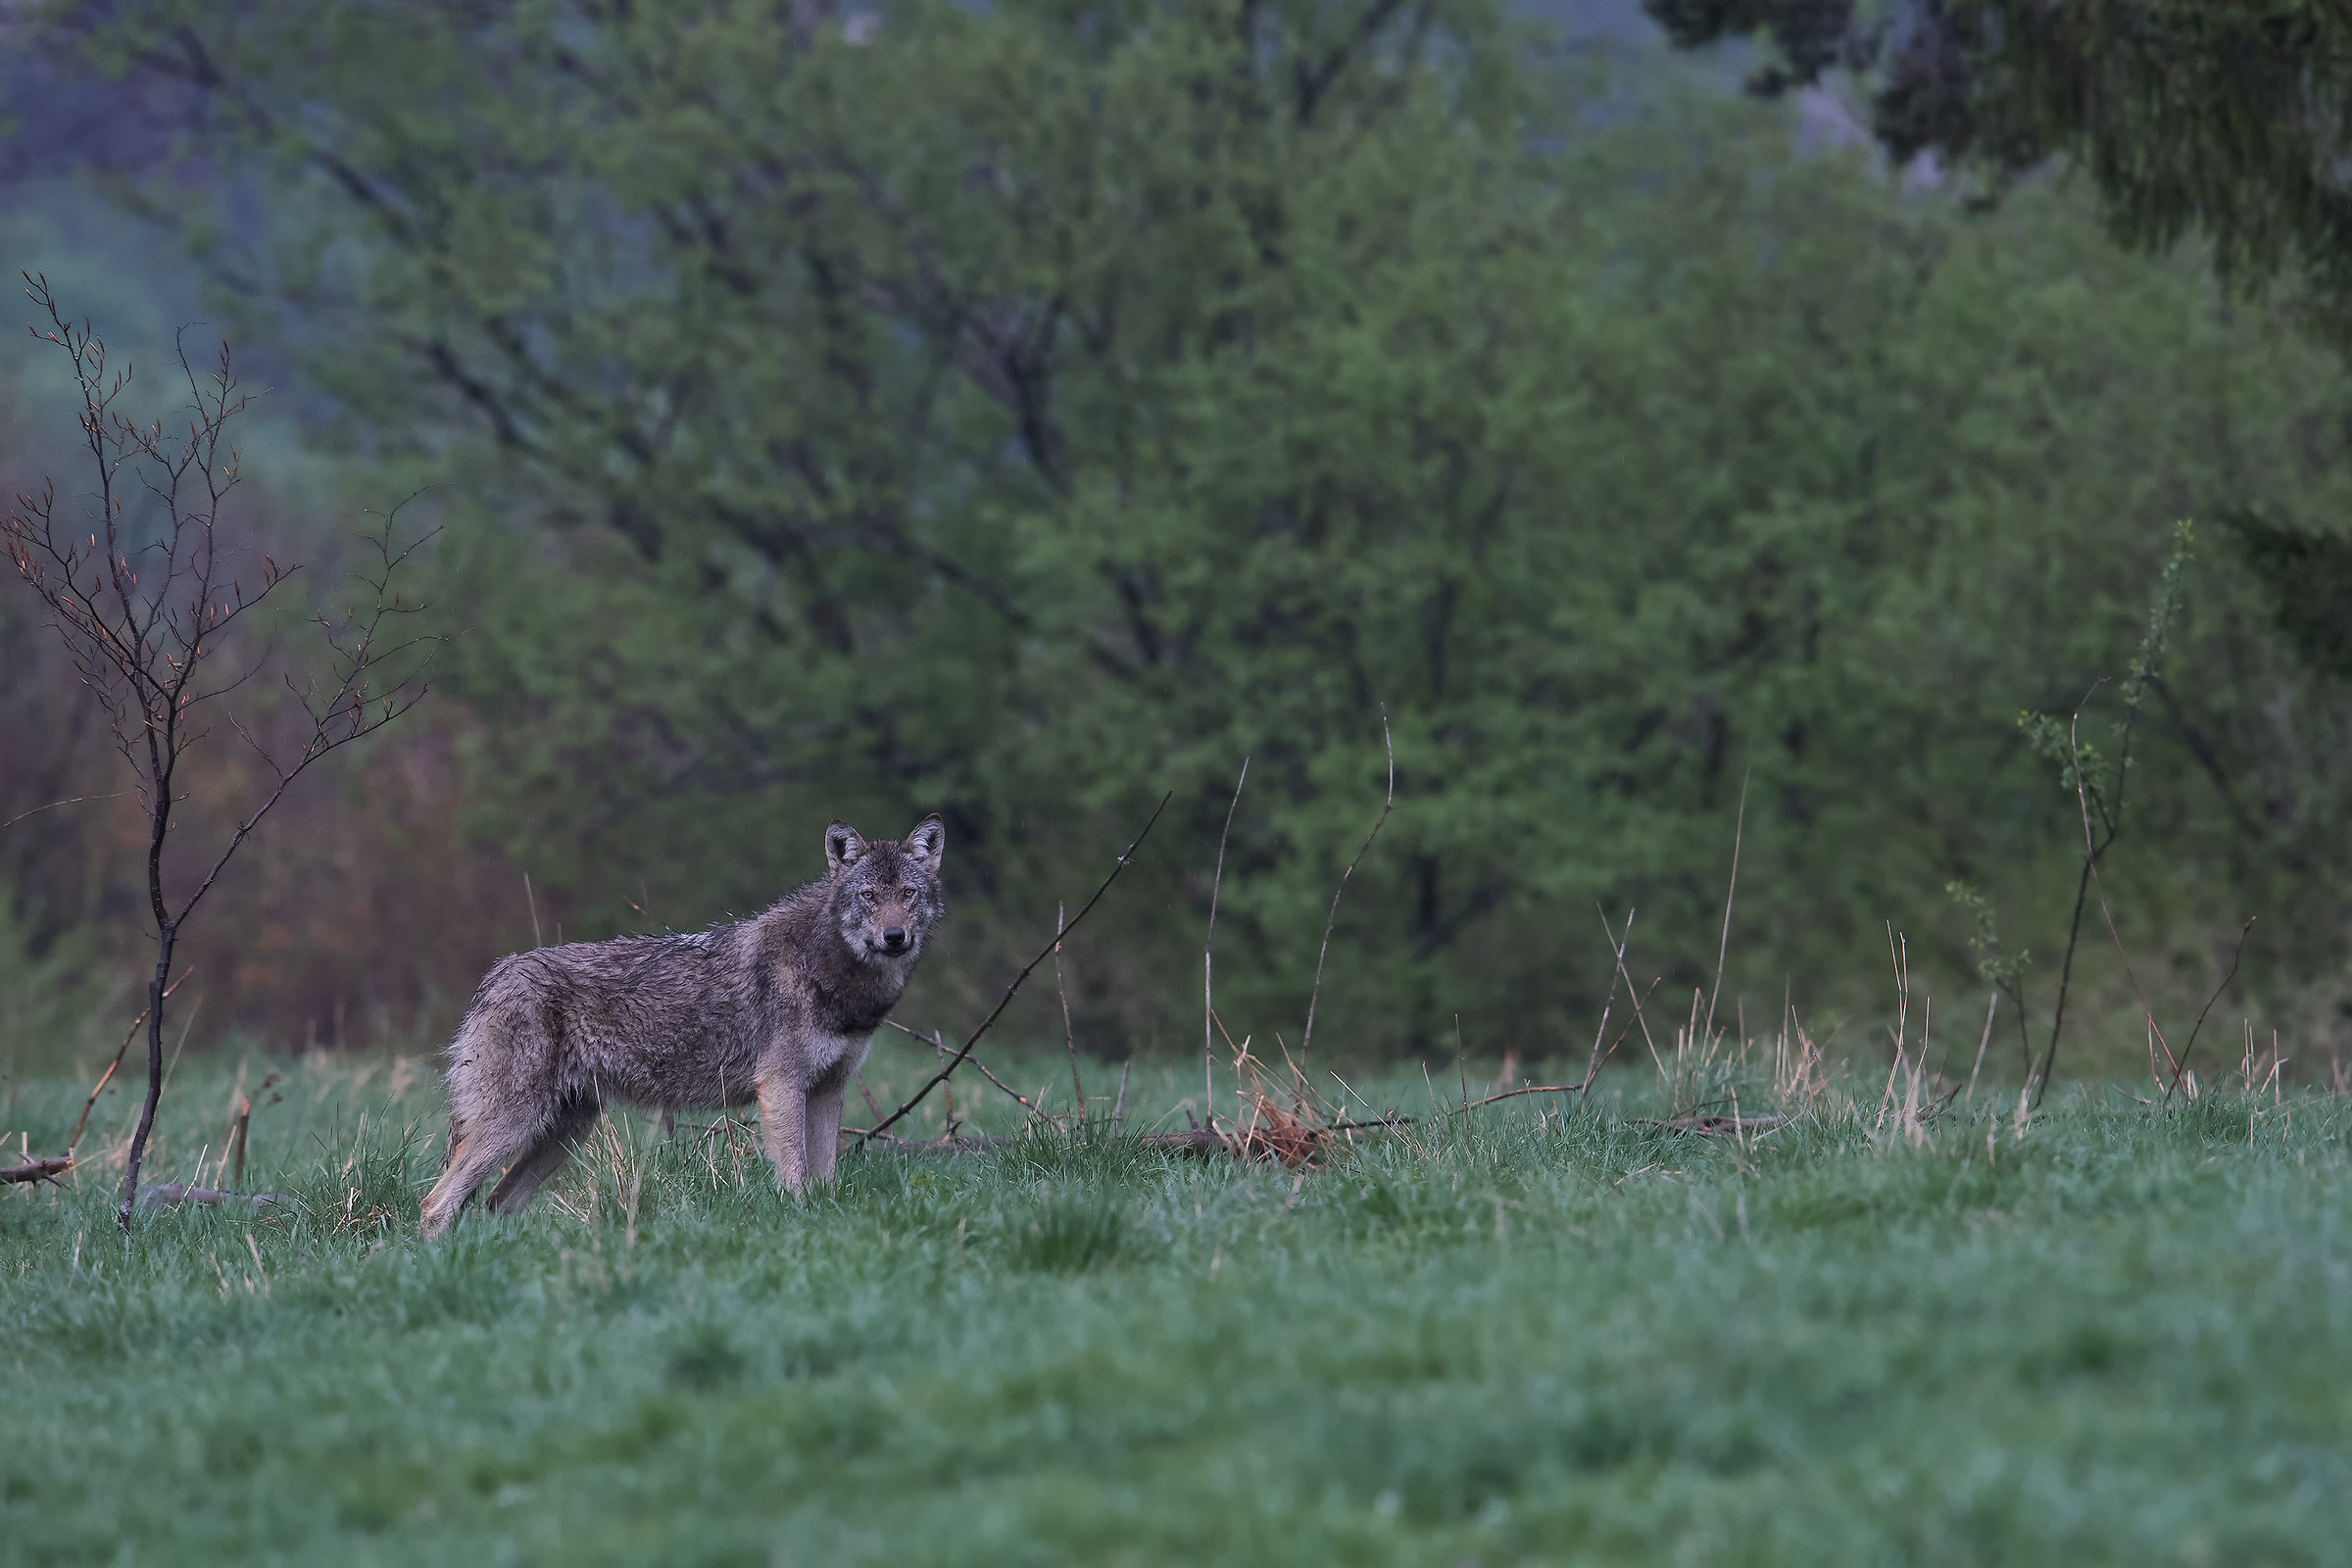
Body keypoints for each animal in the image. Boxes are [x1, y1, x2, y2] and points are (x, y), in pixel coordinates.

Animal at [419, 816, 945, 1235]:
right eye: (869, 896)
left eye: (909, 894)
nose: (894, 936)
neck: (829, 971)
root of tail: (493, 977)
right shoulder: (782, 1086)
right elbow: (795, 1178)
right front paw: (799, 1221)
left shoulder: (829, 1089)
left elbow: (825, 1181)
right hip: (514, 1127)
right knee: (435, 1205)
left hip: (561, 1136)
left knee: (494, 1204)